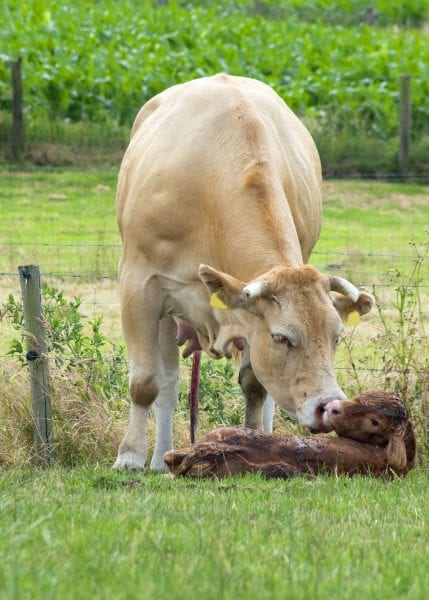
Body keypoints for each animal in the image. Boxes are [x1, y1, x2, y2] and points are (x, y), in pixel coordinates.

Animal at [113, 74, 372, 468]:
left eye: (337, 337)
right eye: (282, 337)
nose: (328, 407)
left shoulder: (251, 317)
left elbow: (255, 386)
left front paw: (255, 442)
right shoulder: (140, 286)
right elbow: (145, 383)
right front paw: (129, 457)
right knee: (168, 384)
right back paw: (159, 459)